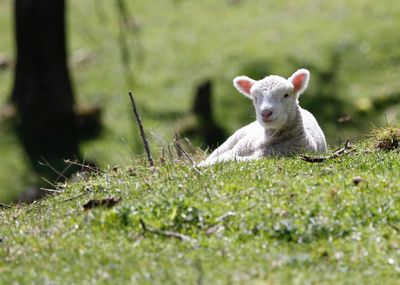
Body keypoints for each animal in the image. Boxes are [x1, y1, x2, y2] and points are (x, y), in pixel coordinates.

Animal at [198, 68, 326, 166]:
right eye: (255, 97)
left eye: (286, 95)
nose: (265, 112)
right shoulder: (238, 149)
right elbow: (223, 156)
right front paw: (199, 166)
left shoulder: (269, 156)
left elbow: (228, 159)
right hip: (234, 138)